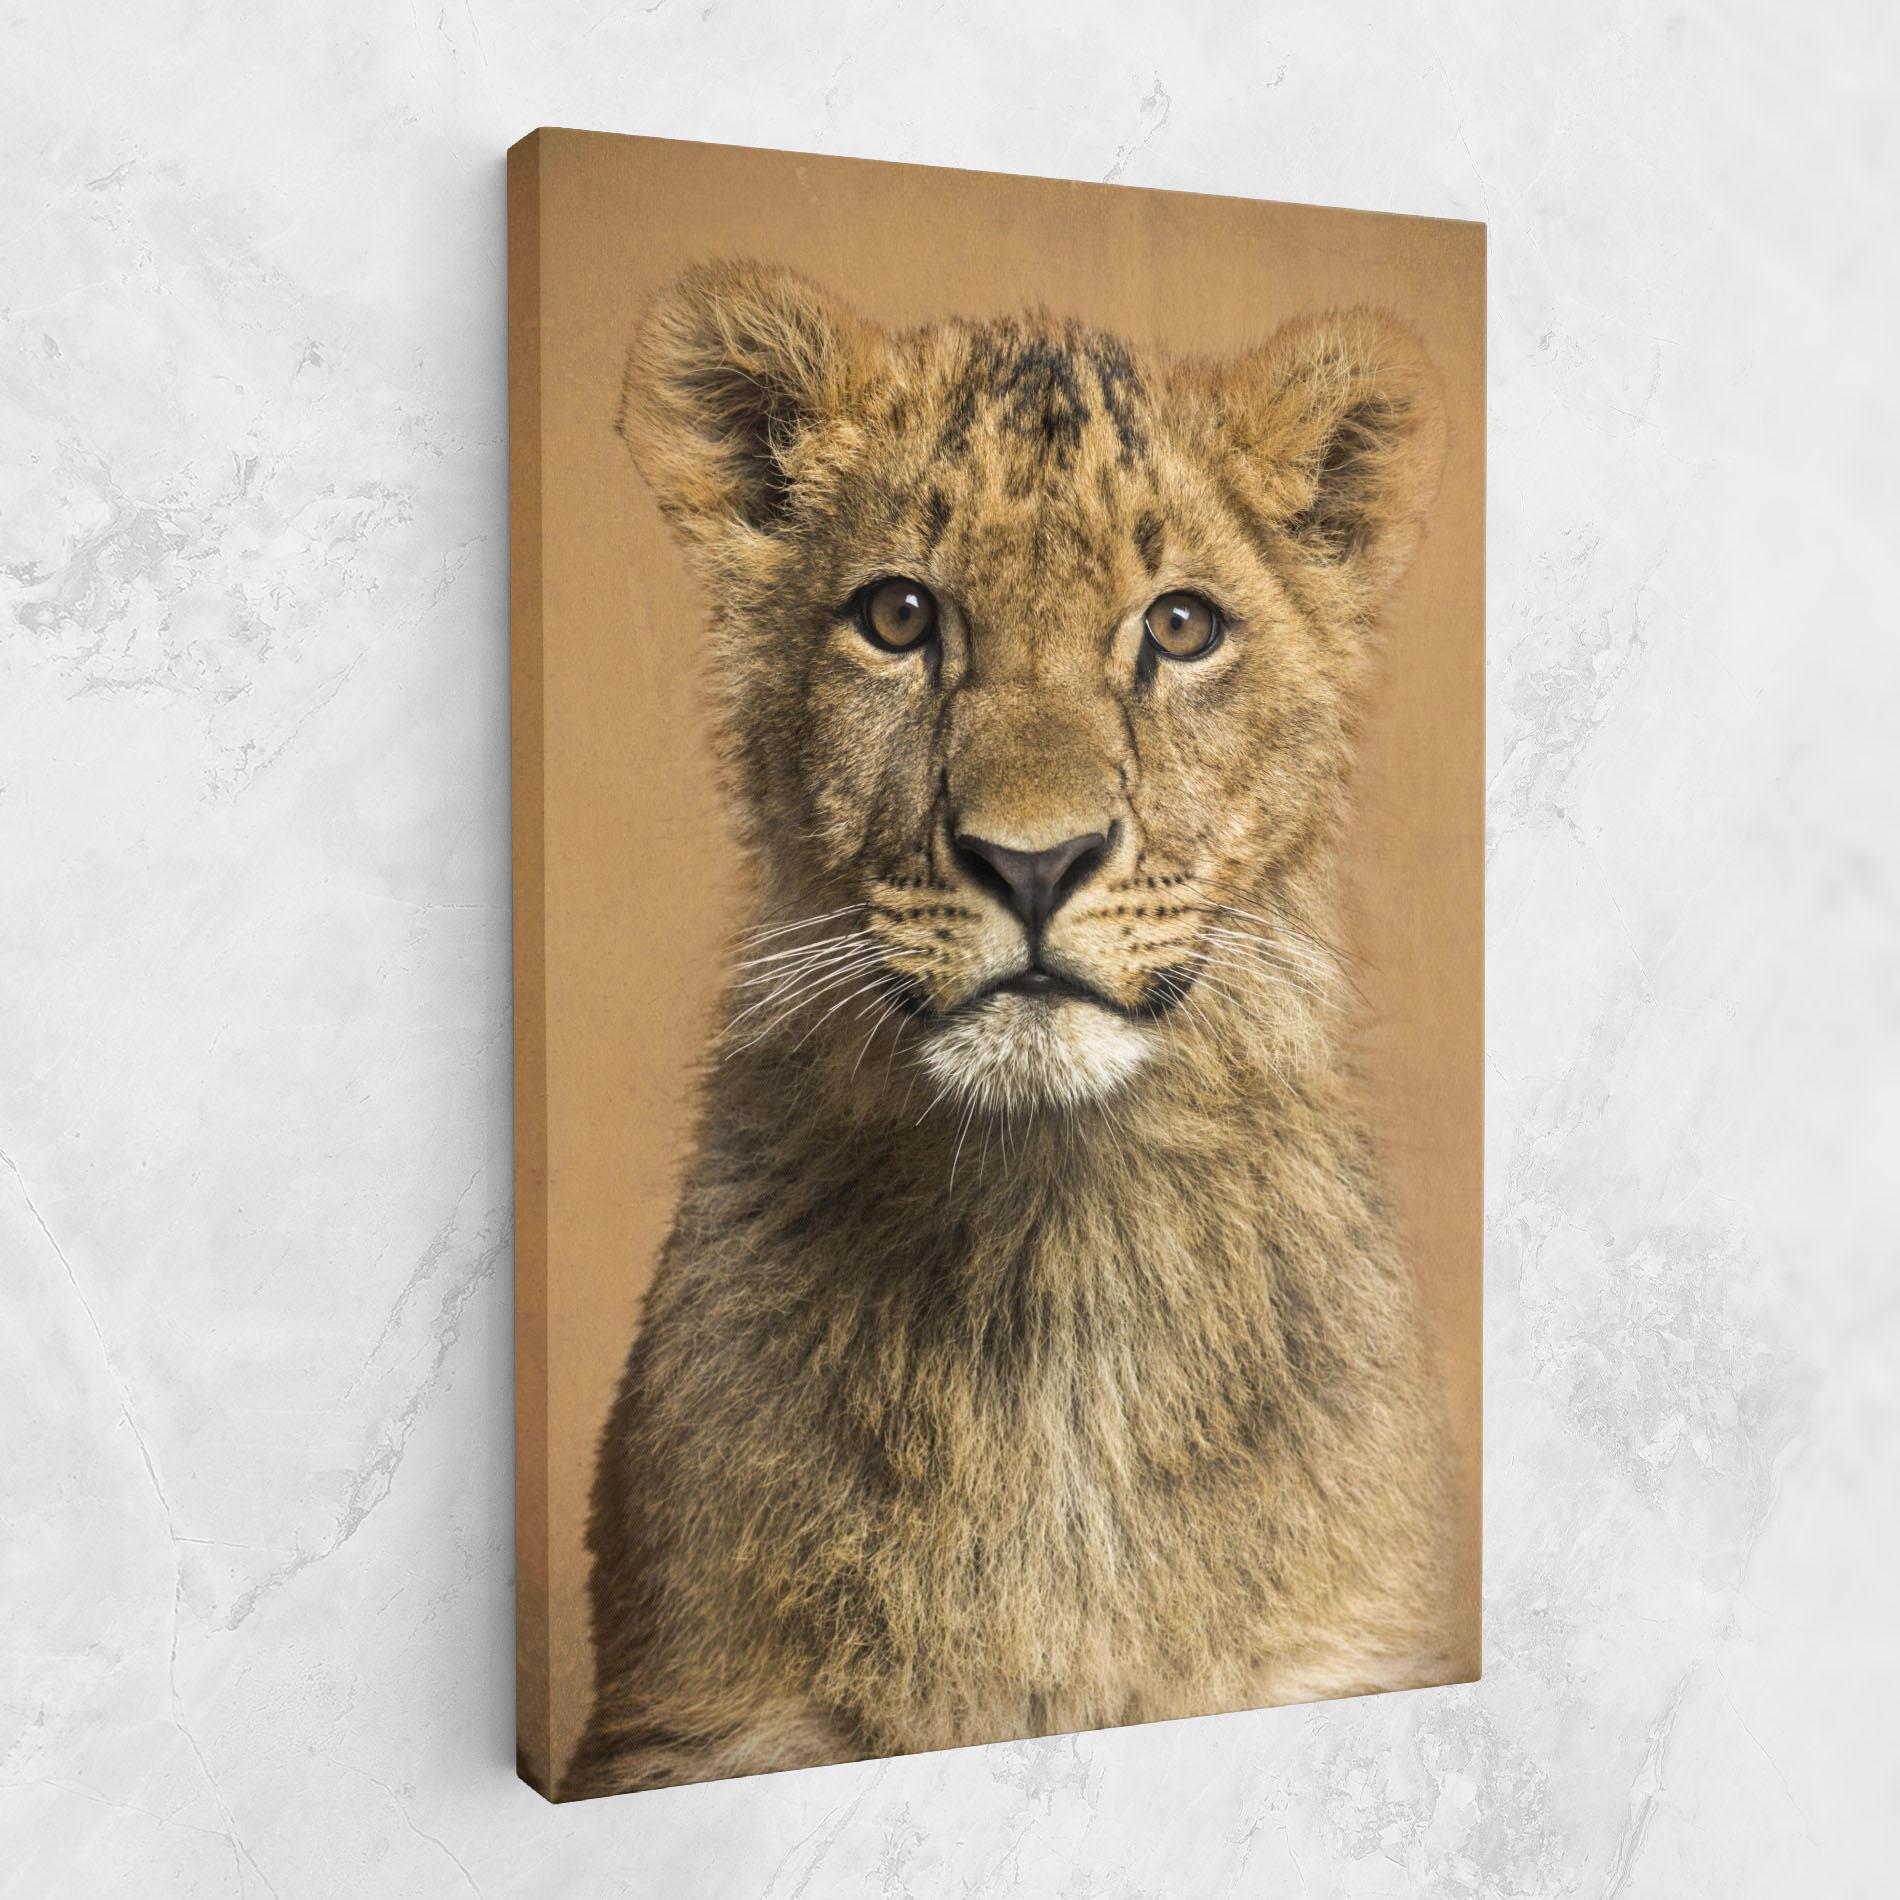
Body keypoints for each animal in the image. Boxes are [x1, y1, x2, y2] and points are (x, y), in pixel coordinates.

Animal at [561, 259, 1459, 1799]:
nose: (1033, 864)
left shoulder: (1342, 1655)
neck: (1054, 1248)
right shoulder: (701, 1721)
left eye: (1179, 627)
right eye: (899, 617)